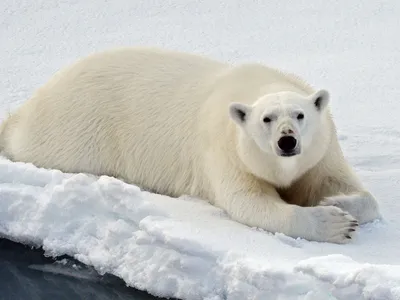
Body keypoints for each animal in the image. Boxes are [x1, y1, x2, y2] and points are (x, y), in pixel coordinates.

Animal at [0, 47, 382, 244]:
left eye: (300, 115)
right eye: (266, 119)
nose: (286, 141)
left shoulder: (322, 150)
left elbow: (346, 186)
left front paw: (336, 201)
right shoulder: (225, 151)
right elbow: (249, 203)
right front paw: (335, 223)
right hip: (78, 131)